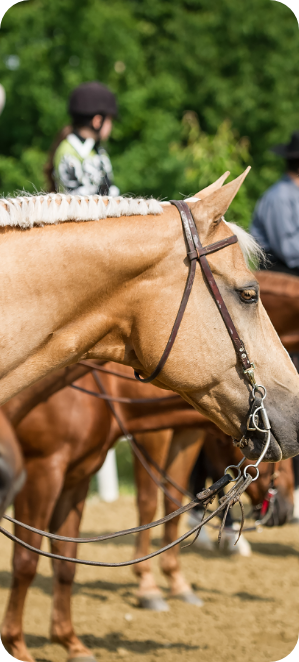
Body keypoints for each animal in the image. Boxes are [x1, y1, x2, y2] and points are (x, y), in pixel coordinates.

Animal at [0, 368, 294, 662]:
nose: (285, 510)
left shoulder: (77, 479)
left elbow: (66, 562)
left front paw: (70, 643)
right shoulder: (42, 473)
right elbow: (26, 563)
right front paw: (17, 645)